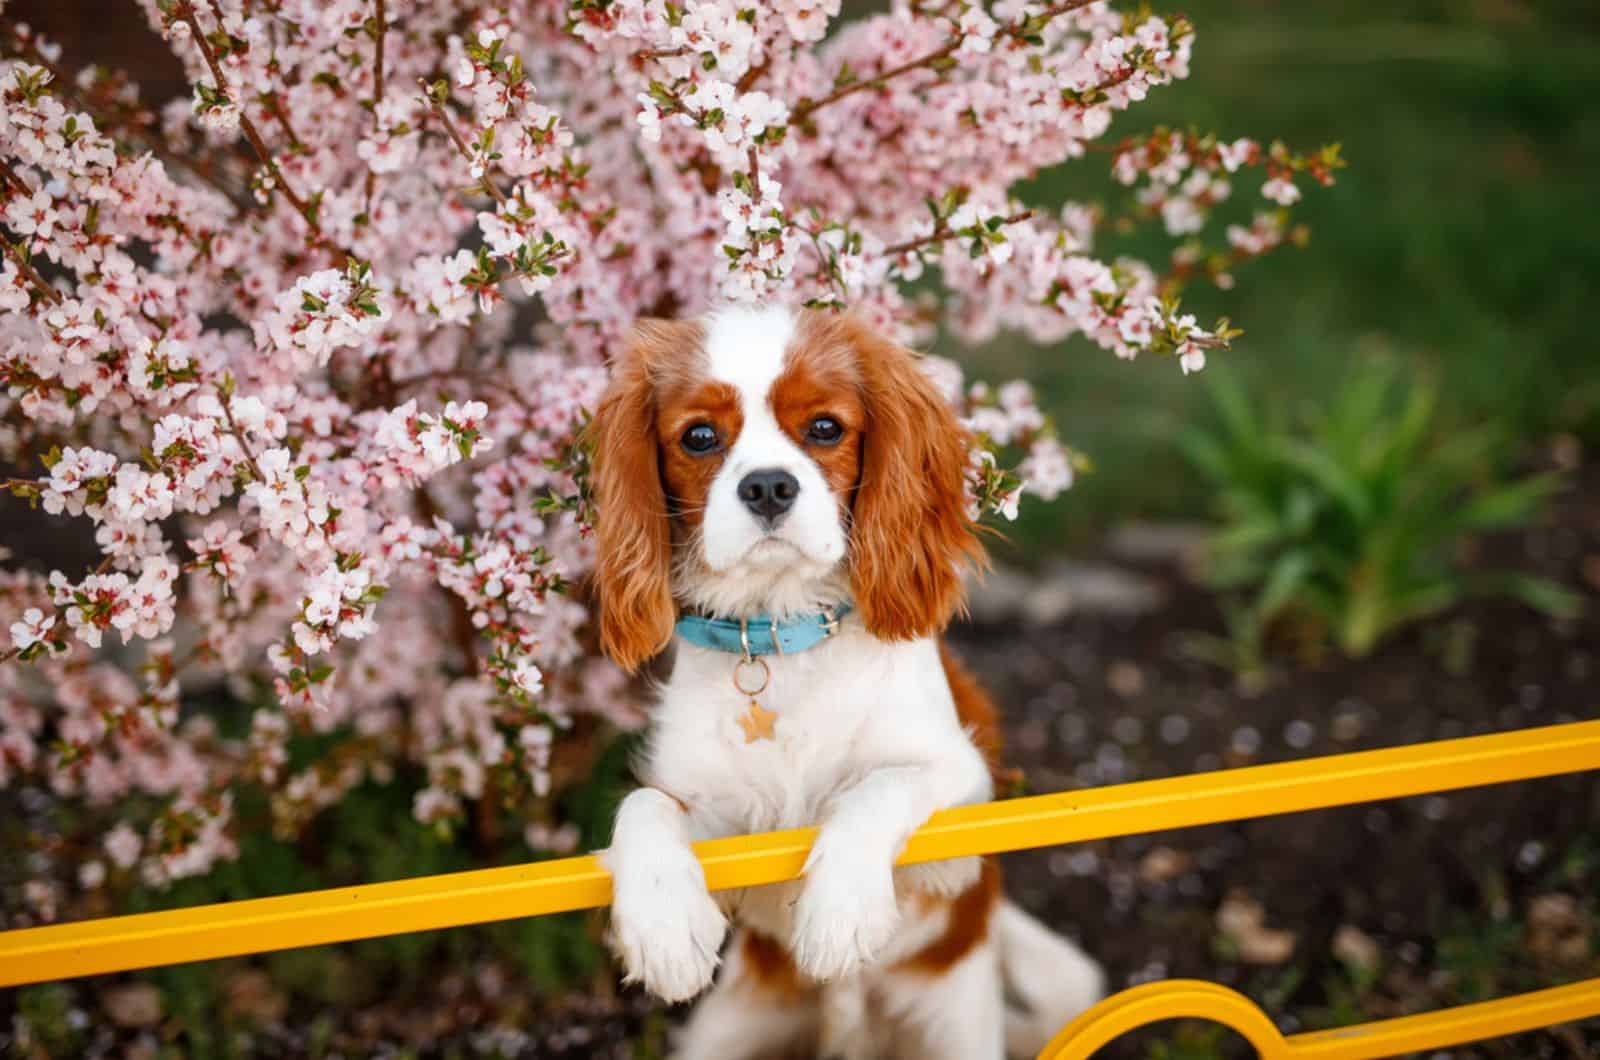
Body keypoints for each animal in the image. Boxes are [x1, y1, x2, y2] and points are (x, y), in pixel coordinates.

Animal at [588, 307, 1100, 1060]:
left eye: (826, 427)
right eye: (699, 437)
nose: (768, 486)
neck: (783, 634)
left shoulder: (964, 788)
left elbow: (876, 788)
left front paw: (839, 913)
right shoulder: (722, 823)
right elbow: (644, 808)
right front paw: (665, 929)